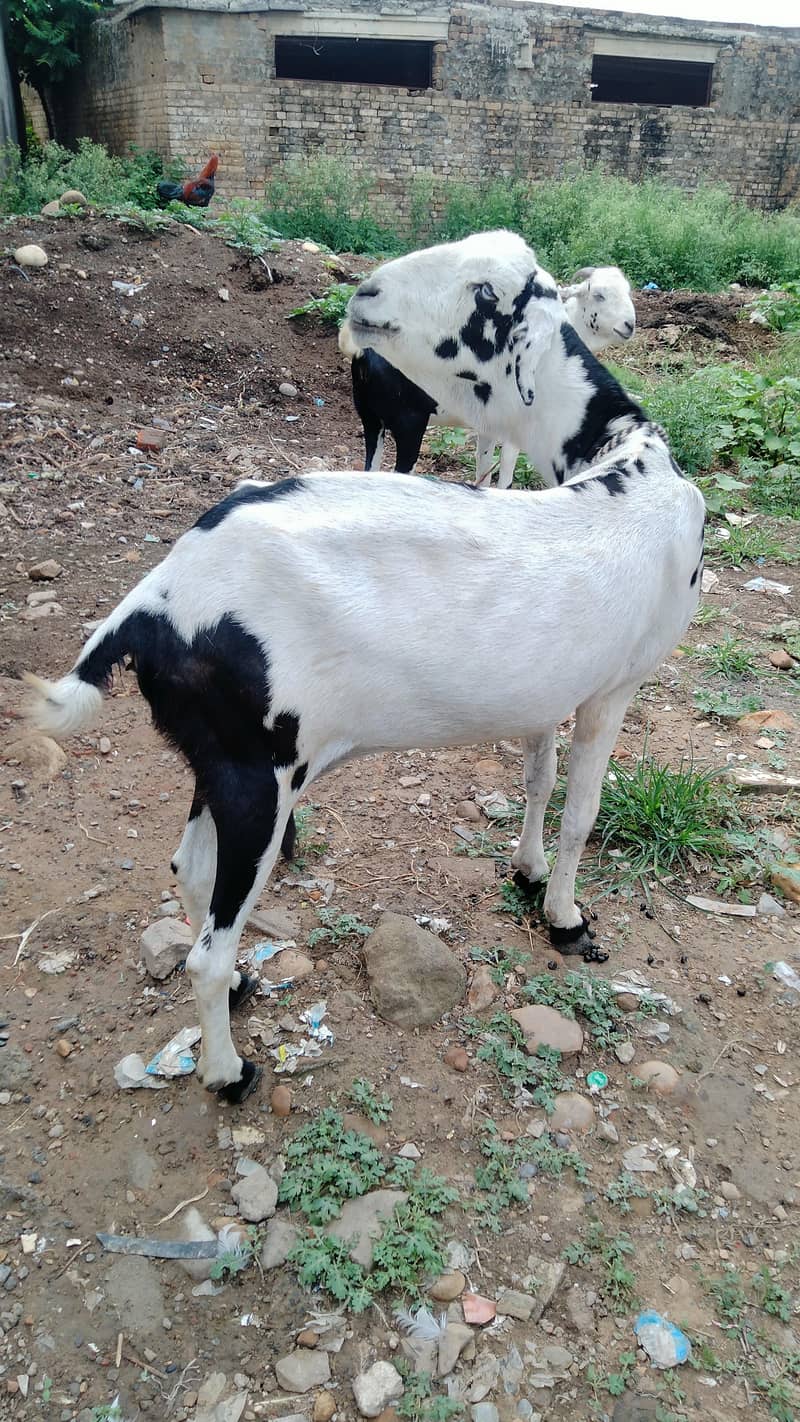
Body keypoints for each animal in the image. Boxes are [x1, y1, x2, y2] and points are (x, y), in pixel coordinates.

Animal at [341, 261, 636, 489]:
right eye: (598, 294)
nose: (629, 325)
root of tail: (362, 352)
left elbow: (483, 466)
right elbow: (505, 474)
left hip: (370, 417)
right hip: (408, 424)